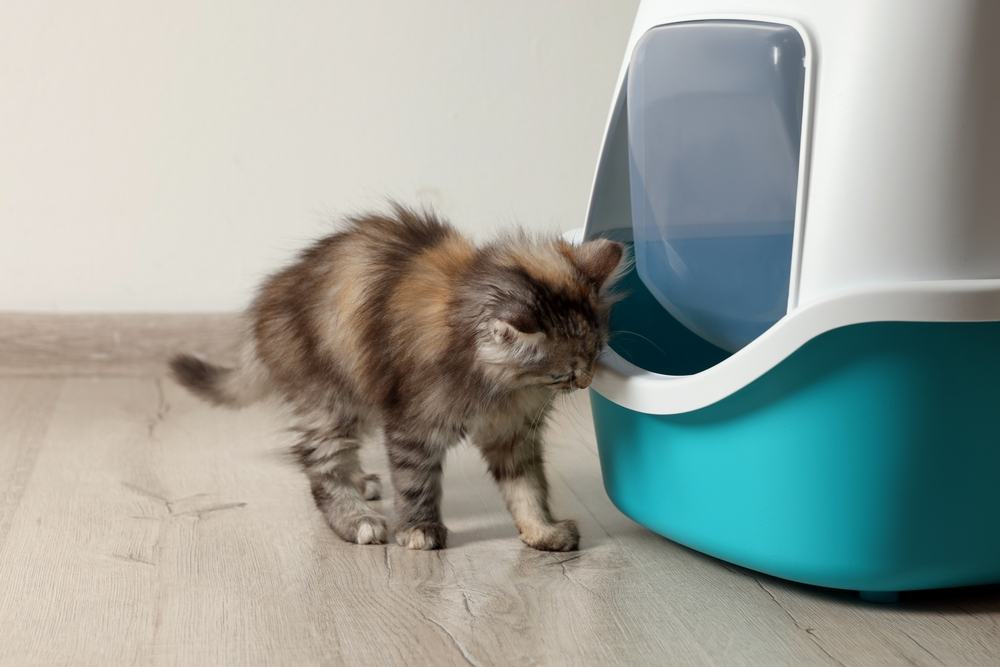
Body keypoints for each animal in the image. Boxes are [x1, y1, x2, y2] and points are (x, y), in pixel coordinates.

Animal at [172, 205, 624, 552]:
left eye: (596, 352)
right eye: (563, 372)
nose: (586, 381)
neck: (502, 390)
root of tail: (271, 296)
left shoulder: (513, 434)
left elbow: (528, 488)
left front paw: (543, 531)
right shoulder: (414, 424)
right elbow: (415, 482)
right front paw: (420, 531)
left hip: (357, 402)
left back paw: (363, 482)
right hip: (330, 398)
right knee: (321, 465)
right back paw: (357, 520)